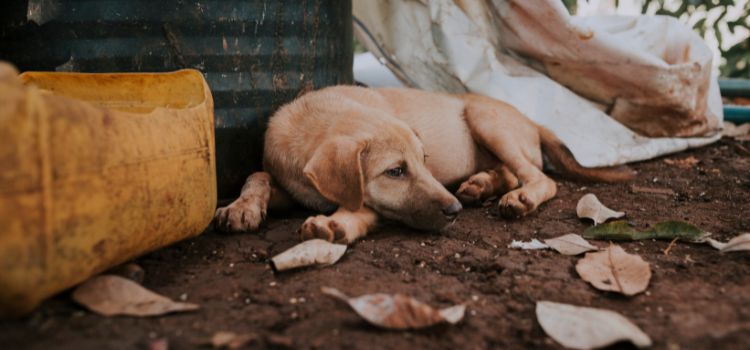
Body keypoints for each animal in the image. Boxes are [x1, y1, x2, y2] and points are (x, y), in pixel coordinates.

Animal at [213, 86, 636, 242]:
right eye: (396, 171)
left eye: (424, 161)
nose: (454, 211)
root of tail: (533, 121)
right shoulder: (291, 183)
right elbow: (257, 174)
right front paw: (242, 207)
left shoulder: (372, 203)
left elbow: (360, 207)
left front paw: (336, 223)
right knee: (511, 171)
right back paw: (480, 184)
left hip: (486, 119)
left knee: (539, 177)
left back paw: (519, 198)